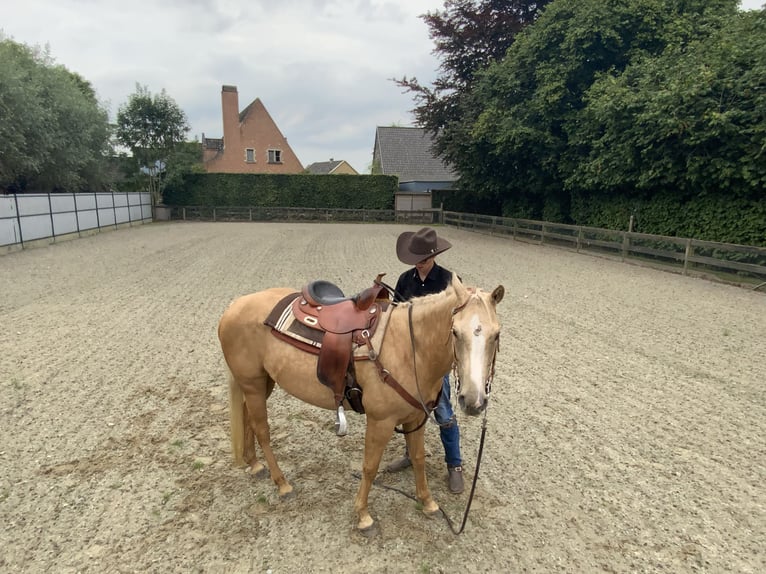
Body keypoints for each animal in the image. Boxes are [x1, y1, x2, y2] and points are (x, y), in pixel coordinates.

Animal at [219, 276, 504, 536]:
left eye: (496, 334)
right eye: (455, 332)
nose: (473, 400)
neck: (409, 349)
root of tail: (234, 305)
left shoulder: (415, 419)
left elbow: (418, 458)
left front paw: (428, 503)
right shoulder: (381, 421)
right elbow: (369, 466)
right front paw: (364, 516)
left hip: (261, 383)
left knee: (246, 418)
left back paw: (255, 465)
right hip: (253, 383)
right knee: (262, 430)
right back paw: (282, 484)